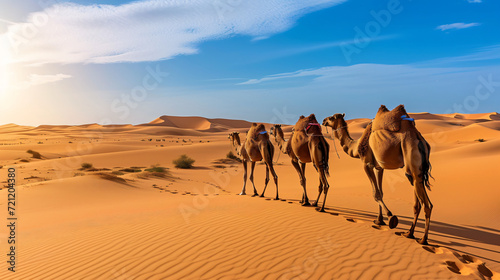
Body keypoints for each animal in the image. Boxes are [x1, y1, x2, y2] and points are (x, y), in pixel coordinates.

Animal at [324, 105, 434, 245]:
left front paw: (391, 217)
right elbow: (380, 192)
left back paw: (423, 239)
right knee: (417, 201)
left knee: (427, 204)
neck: (356, 146)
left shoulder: (366, 163)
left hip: (411, 156)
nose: (323, 120)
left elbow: (375, 193)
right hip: (416, 171)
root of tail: (421, 141)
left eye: (332, 117)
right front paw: (379, 220)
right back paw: (409, 233)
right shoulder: (379, 167)